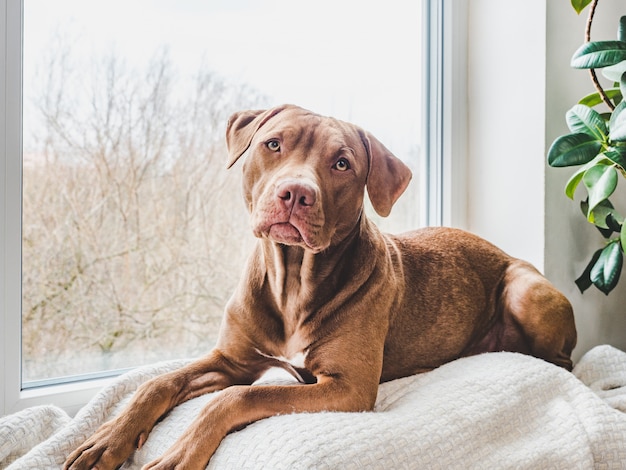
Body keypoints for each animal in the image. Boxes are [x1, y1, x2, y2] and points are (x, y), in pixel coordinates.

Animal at [64, 104, 576, 470]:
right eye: (272, 144)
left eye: (342, 163)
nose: (296, 192)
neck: (293, 279)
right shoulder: (233, 360)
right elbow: (157, 383)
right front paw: (107, 439)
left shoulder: (346, 388)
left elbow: (242, 396)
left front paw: (181, 452)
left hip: (524, 290)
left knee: (564, 360)